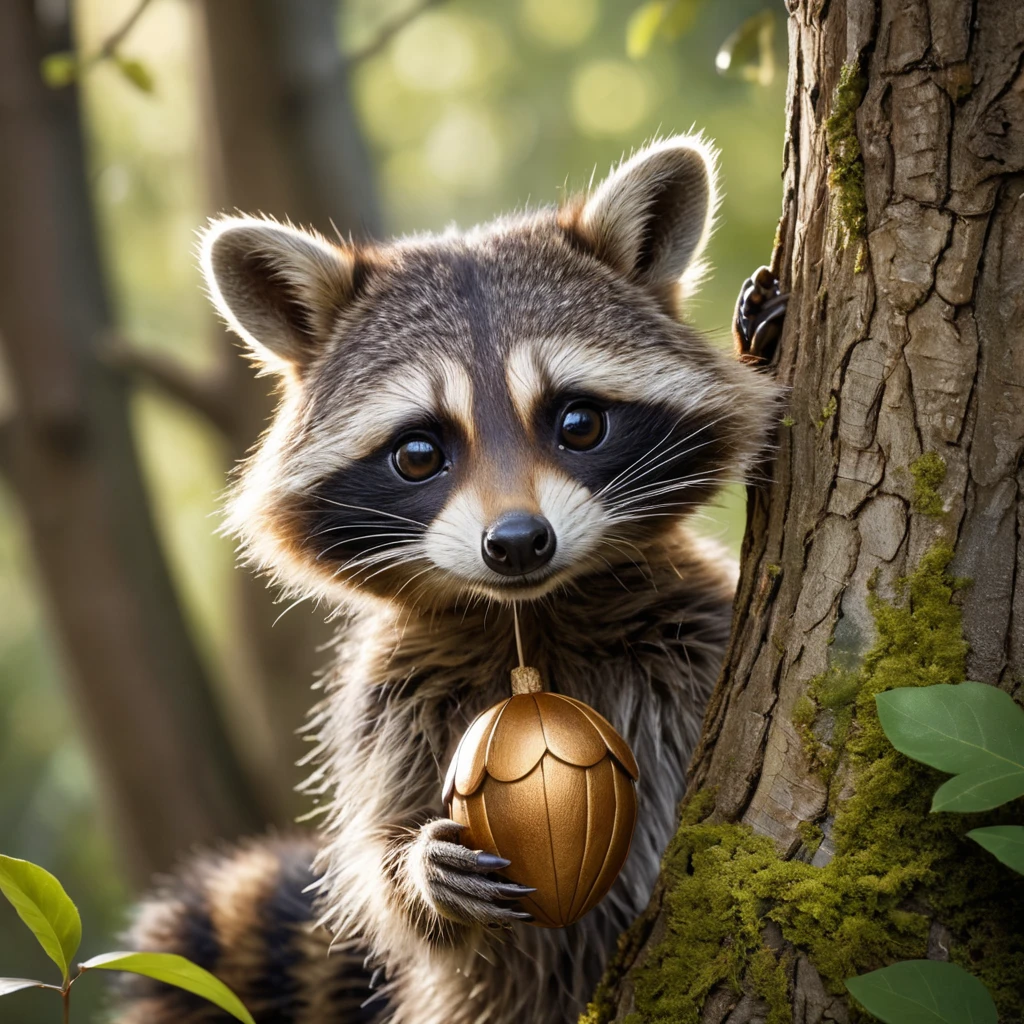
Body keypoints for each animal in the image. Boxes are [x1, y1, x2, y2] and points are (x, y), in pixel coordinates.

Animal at [114, 138, 782, 1024]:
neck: (532, 619)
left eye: (578, 423)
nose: (518, 543)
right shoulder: (389, 701)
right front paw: (416, 875)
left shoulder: (693, 624)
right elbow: (383, 882)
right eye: (419, 453)